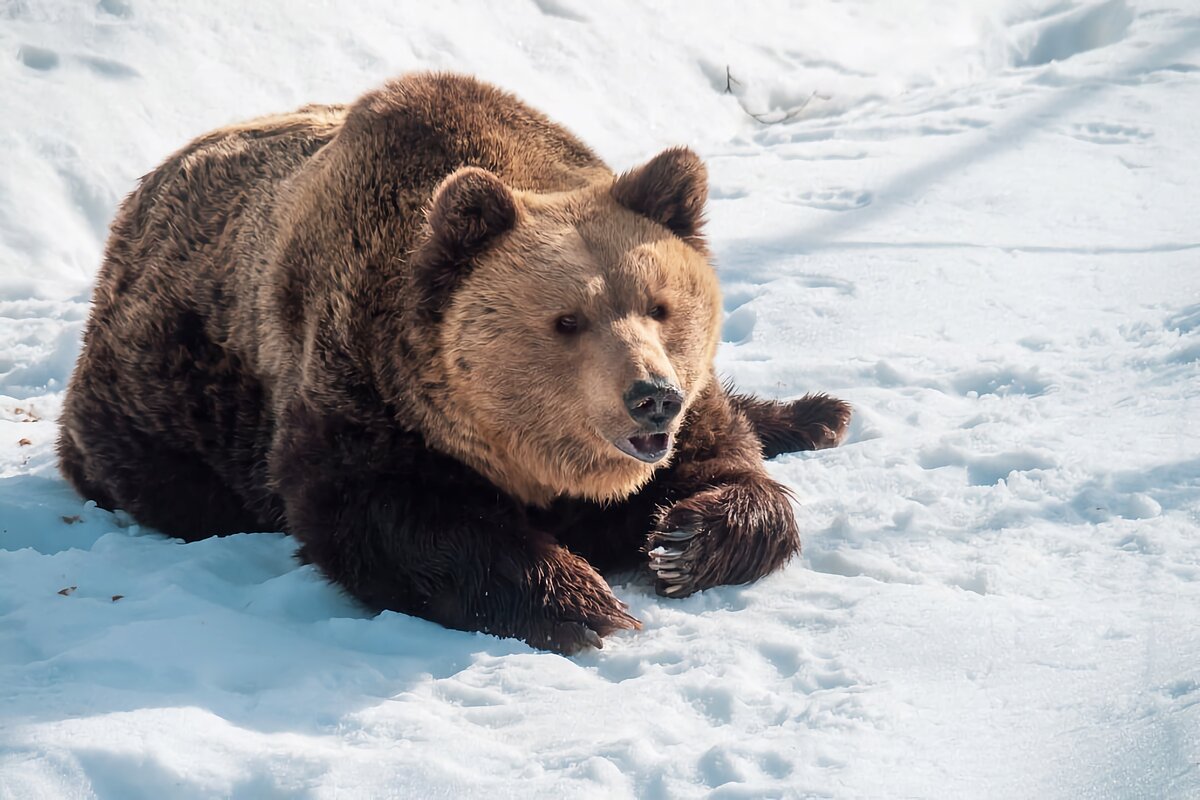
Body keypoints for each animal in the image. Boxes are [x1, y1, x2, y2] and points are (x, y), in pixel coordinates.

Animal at [54, 71, 844, 652]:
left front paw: (681, 541)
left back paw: (818, 413)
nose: (652, 396)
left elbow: (731, 469)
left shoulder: (687, 409)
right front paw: (582, 600)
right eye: (567, 320)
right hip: (159, 394)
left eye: (660, 306)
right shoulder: (363, 389)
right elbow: (383, 511)